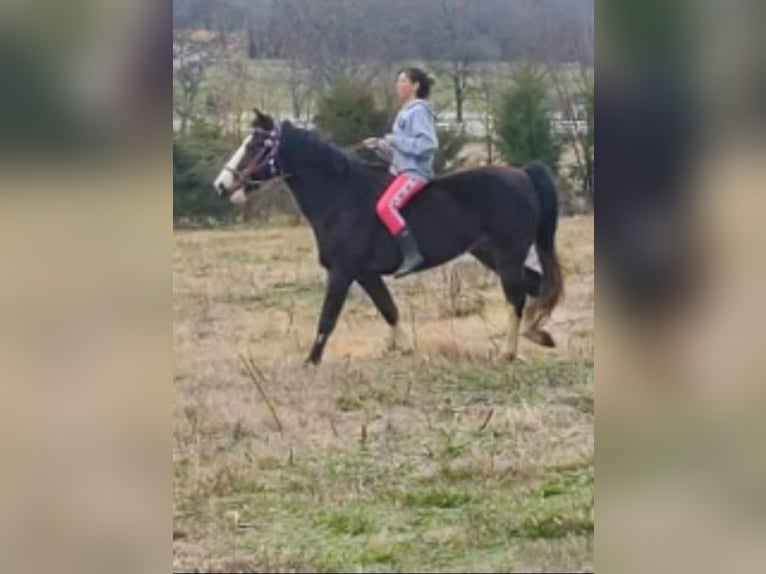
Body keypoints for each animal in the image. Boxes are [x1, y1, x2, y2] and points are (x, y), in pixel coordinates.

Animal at [216, 110, 564, 366]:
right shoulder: (366, 274)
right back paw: (538, 334)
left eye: (256, 145)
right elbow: (389, 309)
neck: (340, 196)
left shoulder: (342, 272)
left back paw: (509, 351)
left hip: (507, 255)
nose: (221, 185)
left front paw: (310, 362)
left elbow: (327, 318)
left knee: (517, 296)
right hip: (491, 254)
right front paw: (405, 348)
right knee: (535, 288)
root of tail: (522, 175)